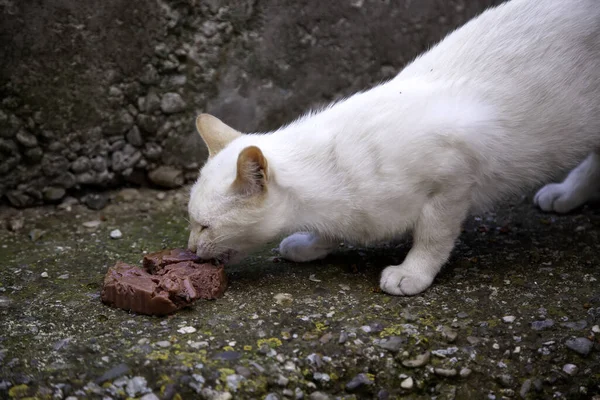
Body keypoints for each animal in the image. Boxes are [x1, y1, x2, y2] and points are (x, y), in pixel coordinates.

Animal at [189, 0, 600, 296]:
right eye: (191, 223)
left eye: (205, 226)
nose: (190, 250)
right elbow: (329, 230)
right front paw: (311, 244)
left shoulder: (454, 177)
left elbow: (433, 236)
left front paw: (412, 273)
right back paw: (567, 194)